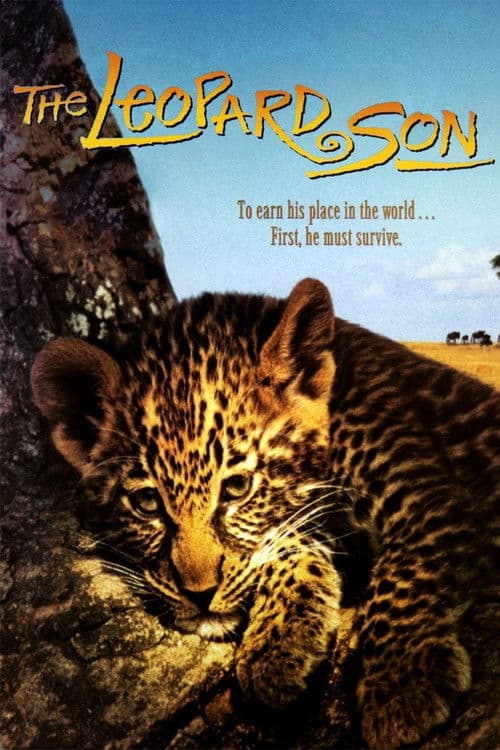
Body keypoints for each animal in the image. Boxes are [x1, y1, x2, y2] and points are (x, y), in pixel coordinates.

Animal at [31, 278, 499, 749]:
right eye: (147, 503)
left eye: (237, 488)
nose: (199, 595)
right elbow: (287, 539)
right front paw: (280, 643)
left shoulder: (419, 489)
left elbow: (408, 571)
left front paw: (402, 682)